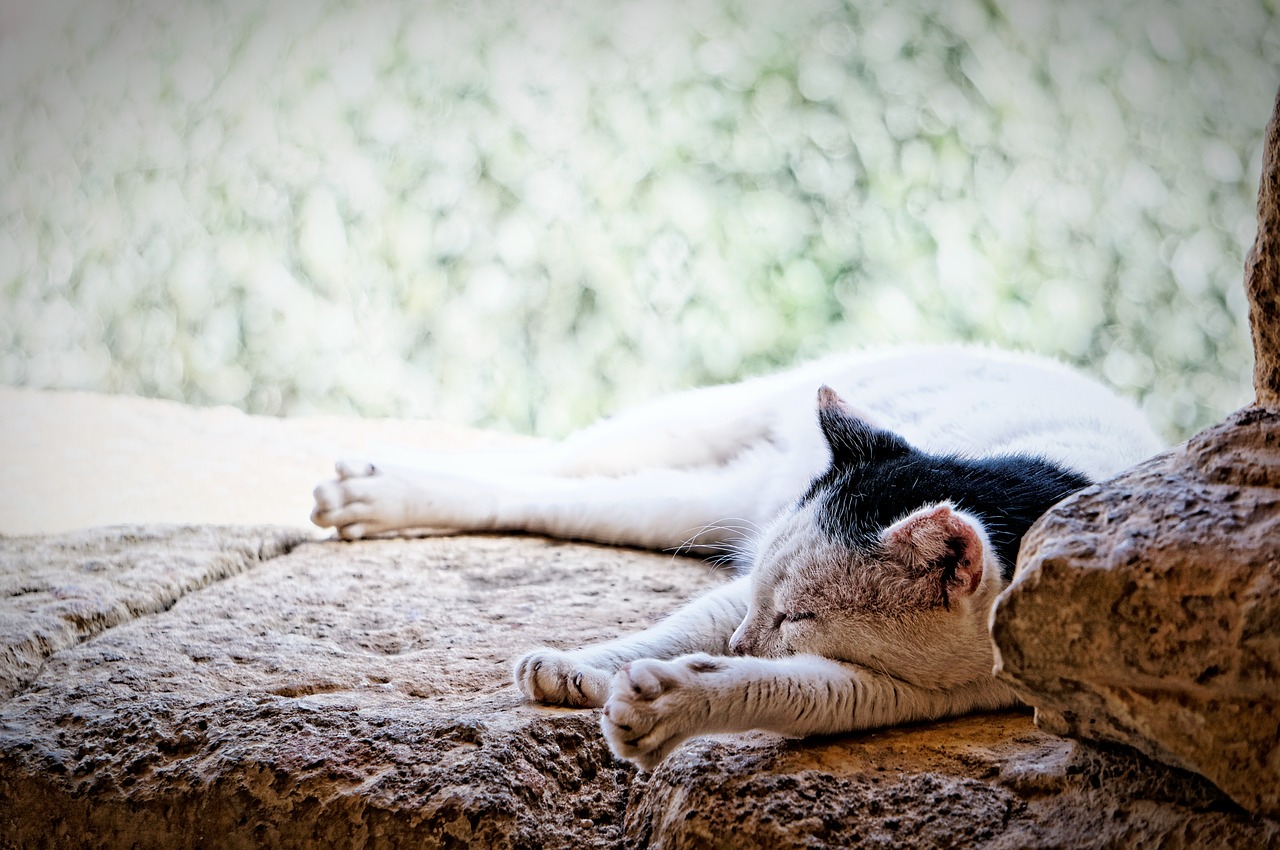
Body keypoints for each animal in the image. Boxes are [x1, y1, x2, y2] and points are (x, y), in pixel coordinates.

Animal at [309, 345, 1162, 768]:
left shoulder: (905, 690)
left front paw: (673, 701)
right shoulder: (734, 590)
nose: (745, 638)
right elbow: (675, 627)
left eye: (799, 616)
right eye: (768, 605)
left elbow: (786, 689)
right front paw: (583, 667)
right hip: (694, 434)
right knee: (543, 475)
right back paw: (365, 491)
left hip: (698, 497)